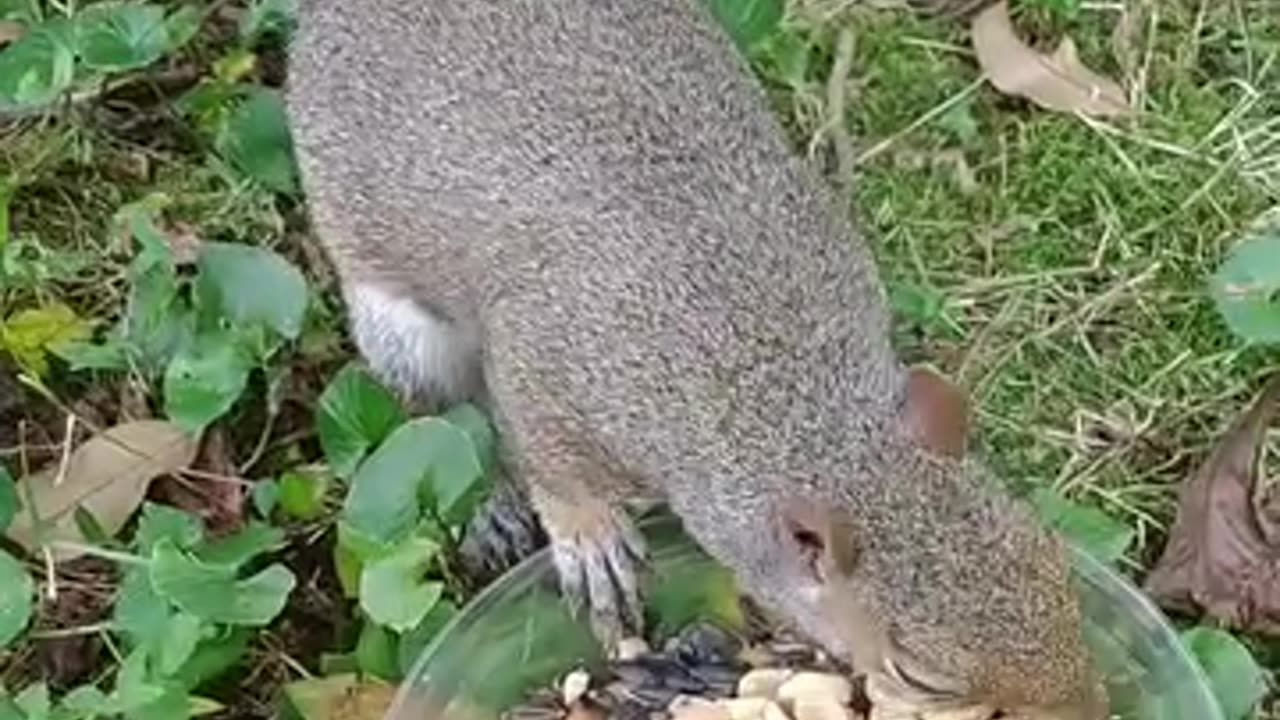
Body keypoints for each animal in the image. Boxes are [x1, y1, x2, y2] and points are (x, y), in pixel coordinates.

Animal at [285, 1, 1105, 717]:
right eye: (923, 675)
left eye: (1058, 571)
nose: (1089, 710)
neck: (787, 387)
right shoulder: (553, 365)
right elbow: (550, 456)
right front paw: (590, 538)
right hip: (396, 321)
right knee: (442, 412)